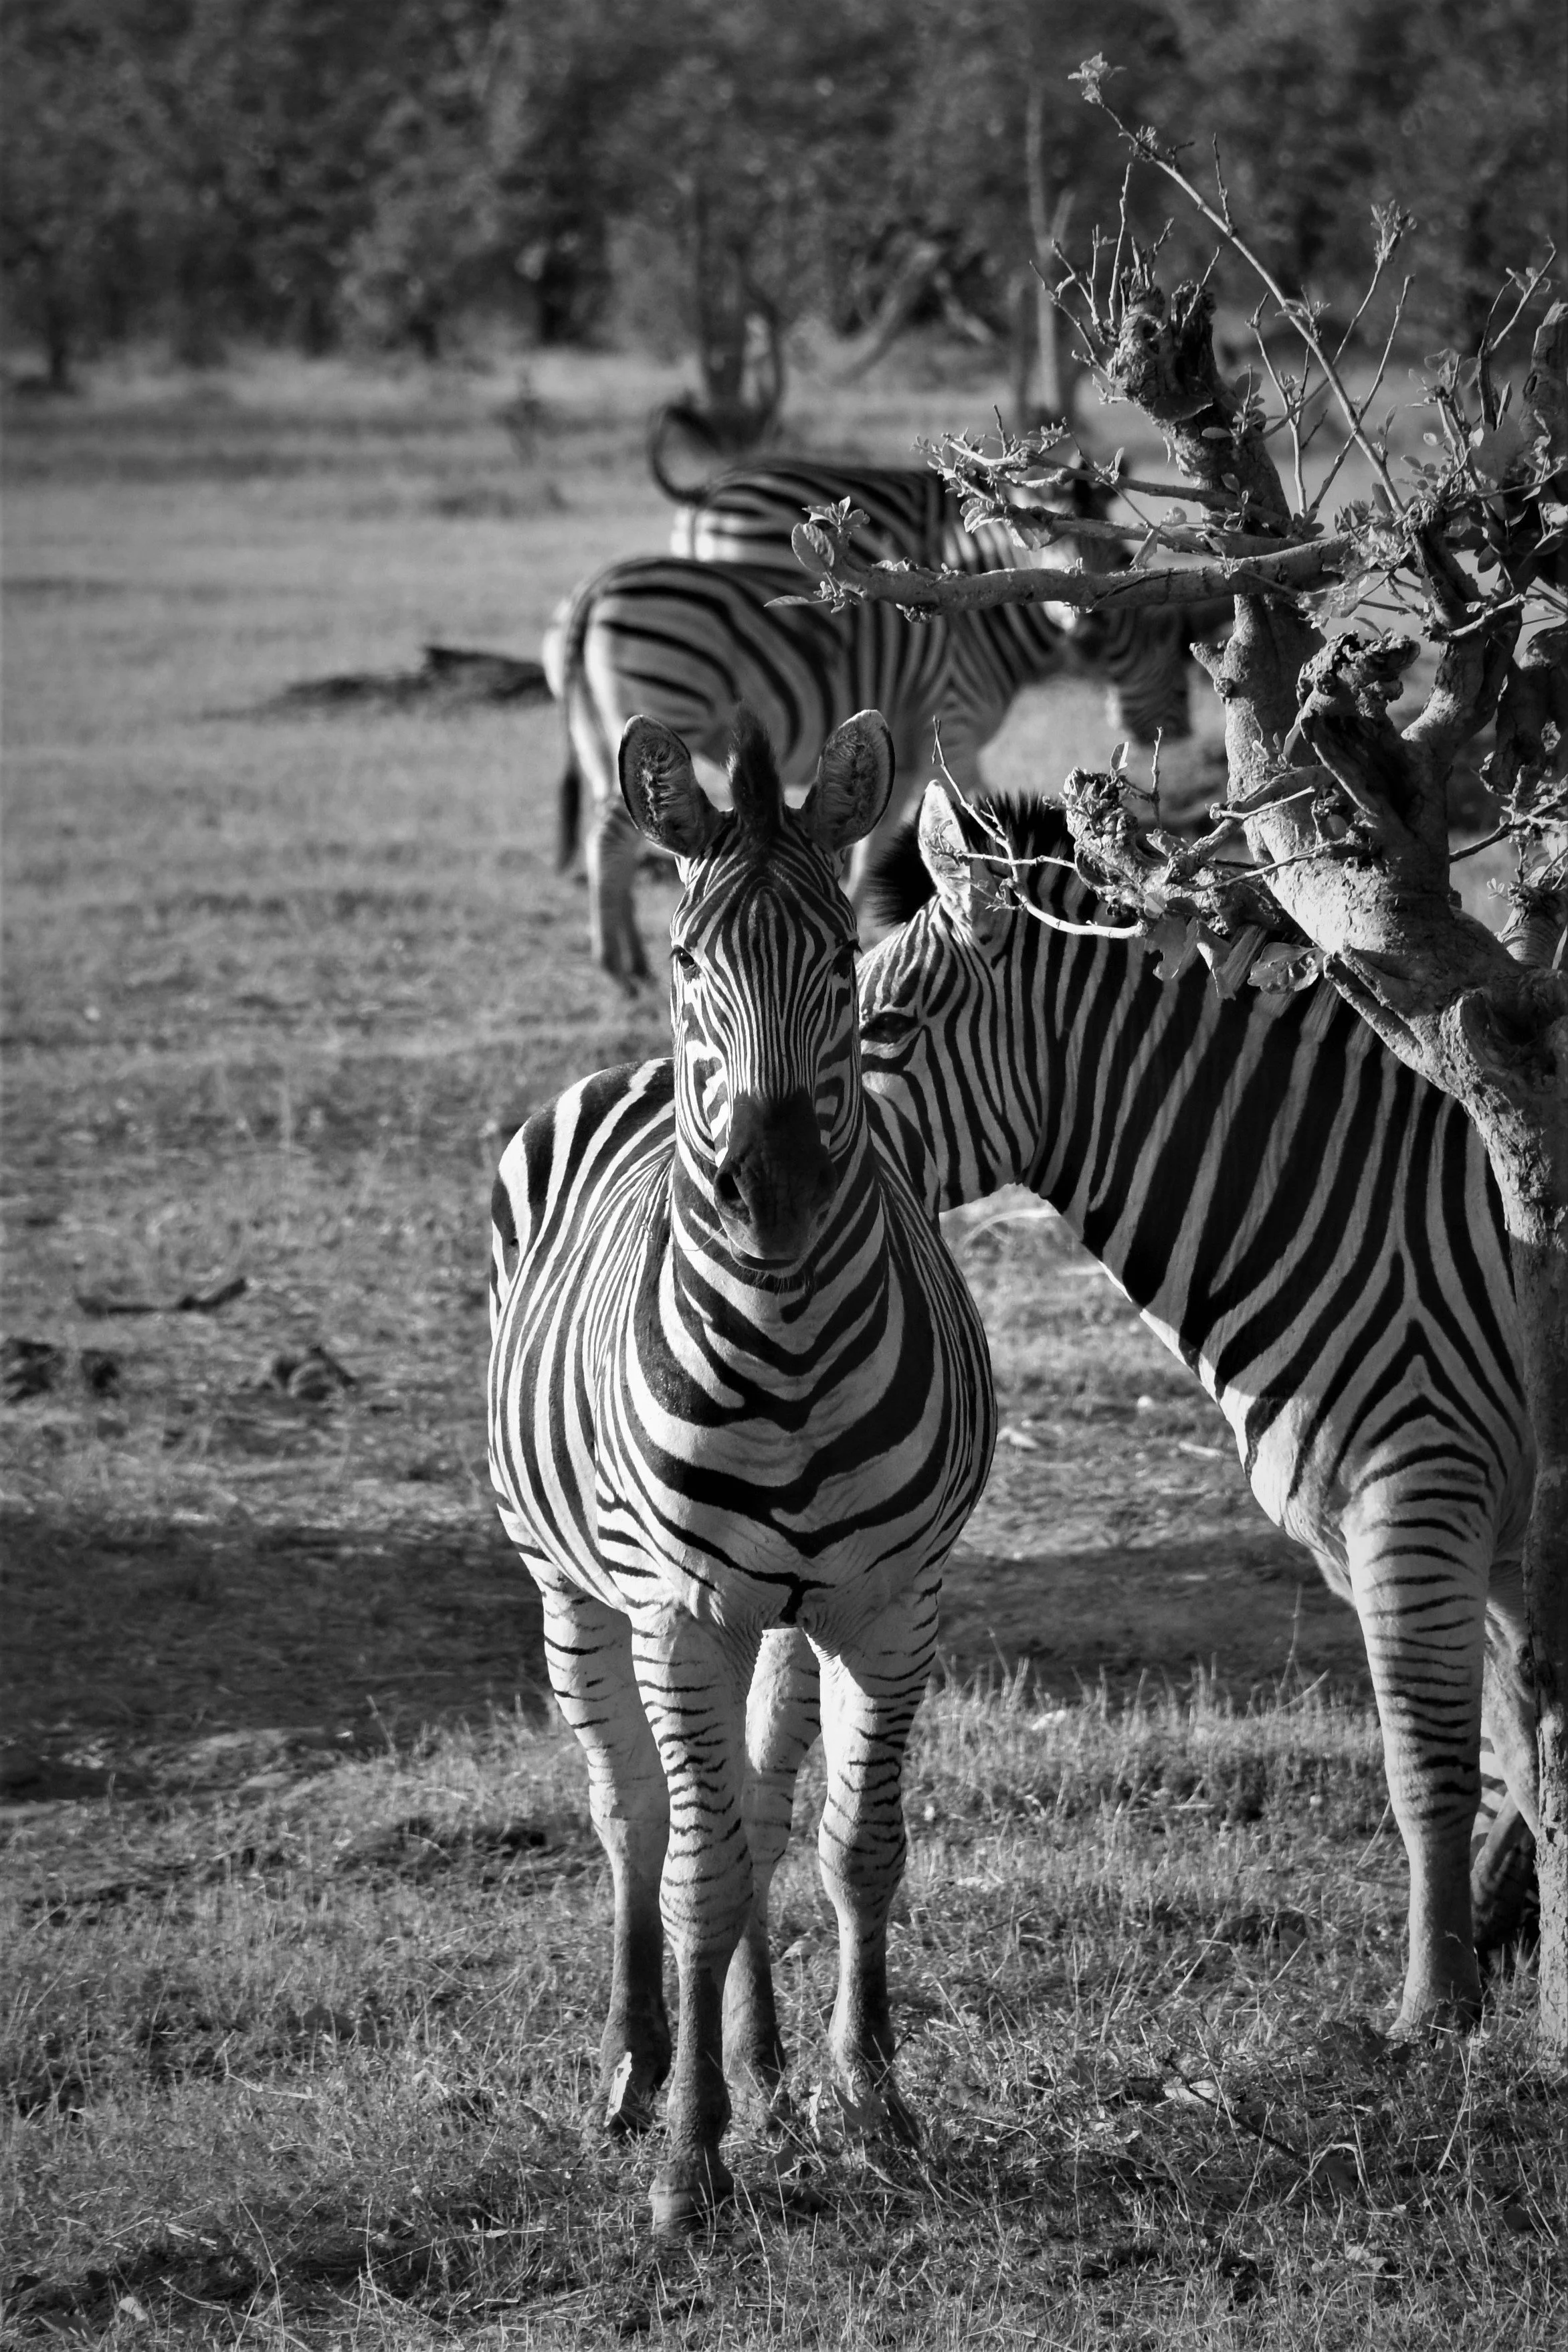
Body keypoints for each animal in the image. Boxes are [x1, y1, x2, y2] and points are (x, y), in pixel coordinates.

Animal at [488, 708, 995, 2231]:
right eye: (686, 959)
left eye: (839, 962)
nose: (771, 1193)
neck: (786, 1348)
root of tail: (635, 1072)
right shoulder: (681, 1611)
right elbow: (699, 1875)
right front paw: (686, 2164)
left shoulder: (889, 1603)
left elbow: (851, 1845)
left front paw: (869, 2103)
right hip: (571, 1586)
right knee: (633, 1820)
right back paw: (636, 2066)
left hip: (786, 1612)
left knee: (764, 1811)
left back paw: (761, 2060)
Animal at [546, 550, 1200, 985]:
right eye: (1169, 650)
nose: (1184, 735)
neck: (987, 631)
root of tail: (595, 585)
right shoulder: (954, 726)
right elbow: (975, 819)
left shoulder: (910, 753)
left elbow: (875, 840)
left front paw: (860, 914)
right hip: (669, 696)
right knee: (610, 837)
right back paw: (618, 963)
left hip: (599, 725)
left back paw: (626, 950)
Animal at [852, 781, 1538, 2033]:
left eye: (877, 1033)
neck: (1337, 1197)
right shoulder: (1461, 1532)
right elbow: (1521, 1750)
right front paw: (1495, 1945)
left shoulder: (1422, 1496)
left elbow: (1429, 1767)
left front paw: (1431, 2012)